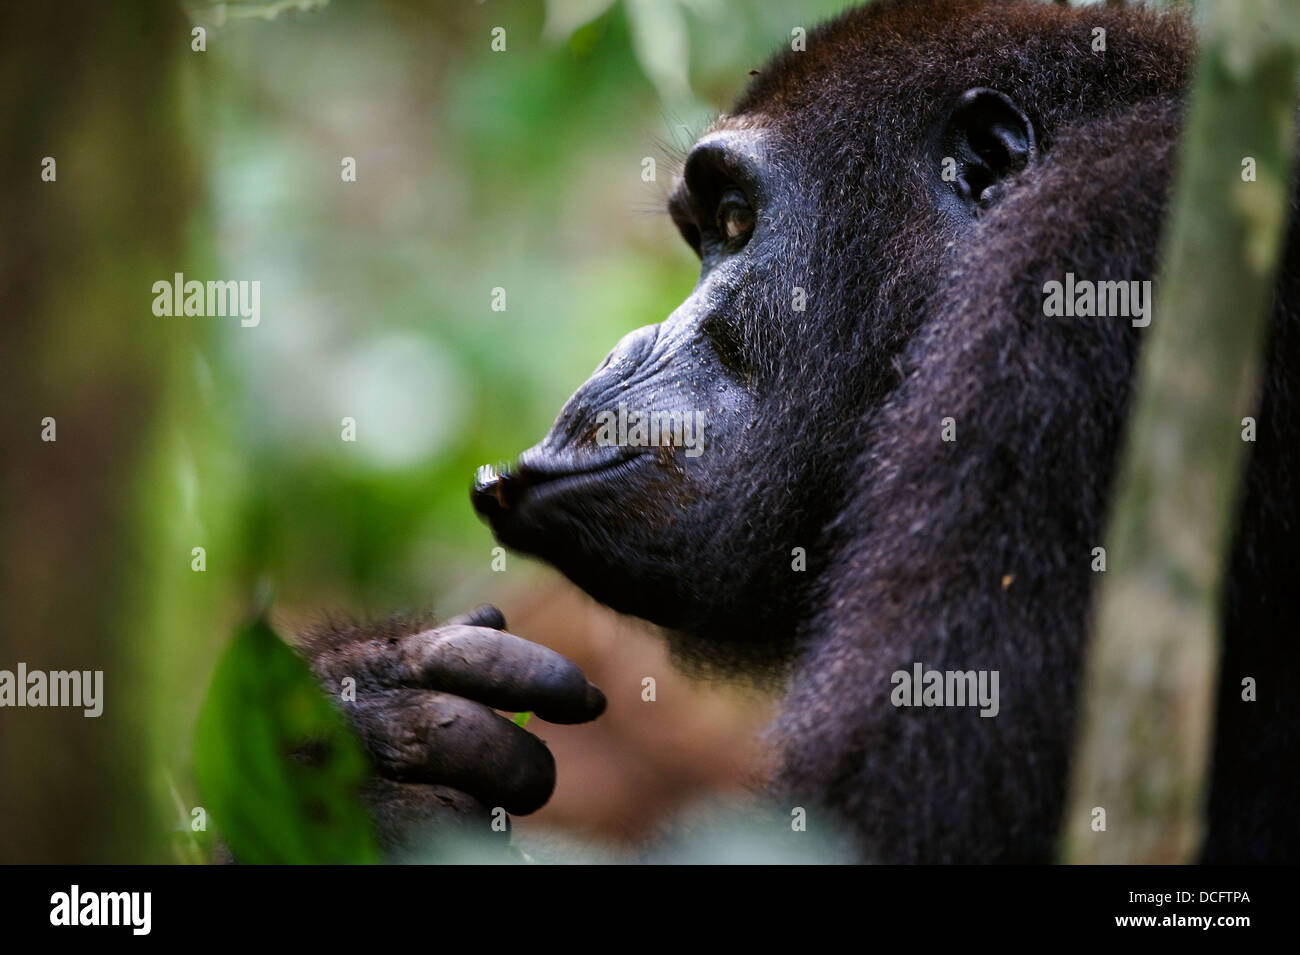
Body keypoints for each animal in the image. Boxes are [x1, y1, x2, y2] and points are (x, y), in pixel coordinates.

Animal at [306, 0, 1300, 867]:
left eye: (736, 222)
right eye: (704, 232)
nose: (628, 346)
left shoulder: (1085, 270)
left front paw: (363, 762)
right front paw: (363, 710)